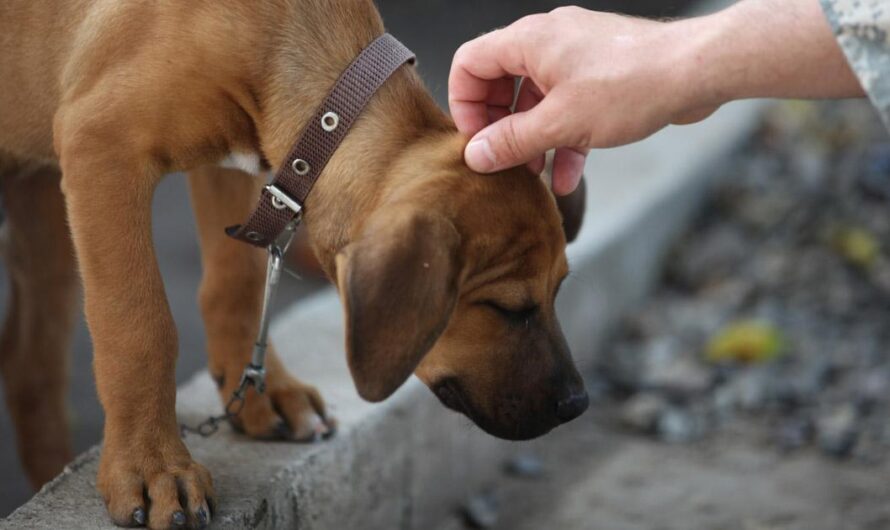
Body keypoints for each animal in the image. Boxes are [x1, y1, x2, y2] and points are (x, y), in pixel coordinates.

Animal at [1, 2, 588, 524]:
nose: (578, 405)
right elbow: (139, 326)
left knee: (31, 365)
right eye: (505, 308)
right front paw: (152, 467)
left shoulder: (244, 164)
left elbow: (236, 283)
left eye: (560, 290)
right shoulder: (102, 149)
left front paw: (264, 392)